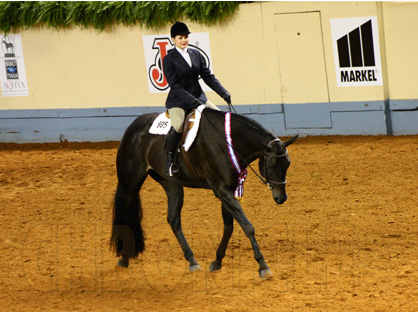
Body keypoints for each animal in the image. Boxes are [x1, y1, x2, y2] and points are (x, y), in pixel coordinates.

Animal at [111, 106, 298, 278]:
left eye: (288, 164)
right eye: (272, 165)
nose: (281, 197)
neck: (227, 142)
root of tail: (132, 127)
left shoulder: (228, 190)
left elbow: (229, 227)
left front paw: (217, 261)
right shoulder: (222, 190)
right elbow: (247, 226)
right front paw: (263, 266)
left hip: (172, 186)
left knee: (173, 220)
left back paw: (192, 261)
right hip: (131, 183)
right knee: (128, 215)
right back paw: (125, 257)